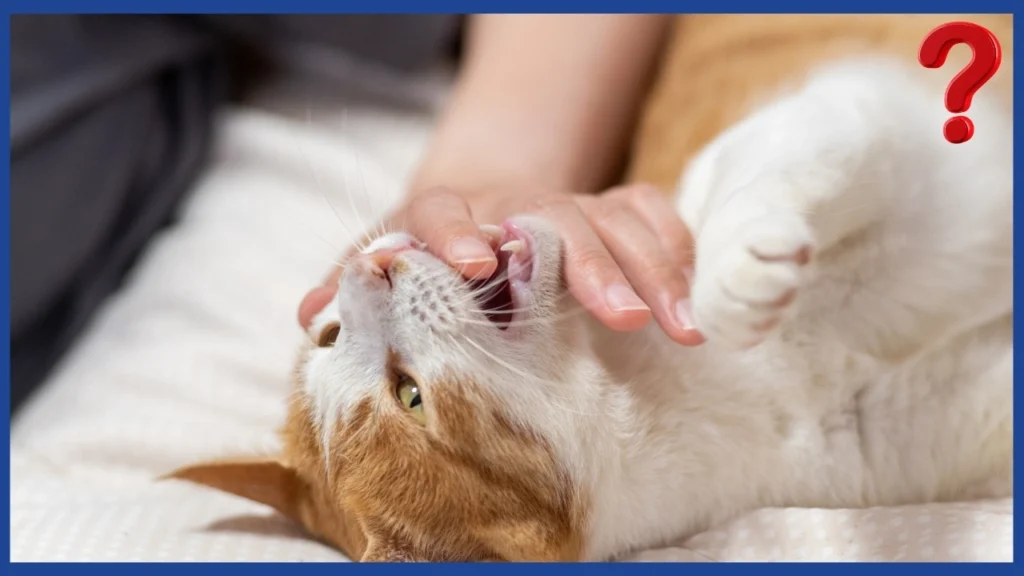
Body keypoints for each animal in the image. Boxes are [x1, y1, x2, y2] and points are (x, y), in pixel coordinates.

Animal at [165, 16, 1007, 561]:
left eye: (328, 333)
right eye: (410, 397)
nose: (370, 268)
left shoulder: (851, 108)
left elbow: (805, 145)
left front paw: (732, 269)